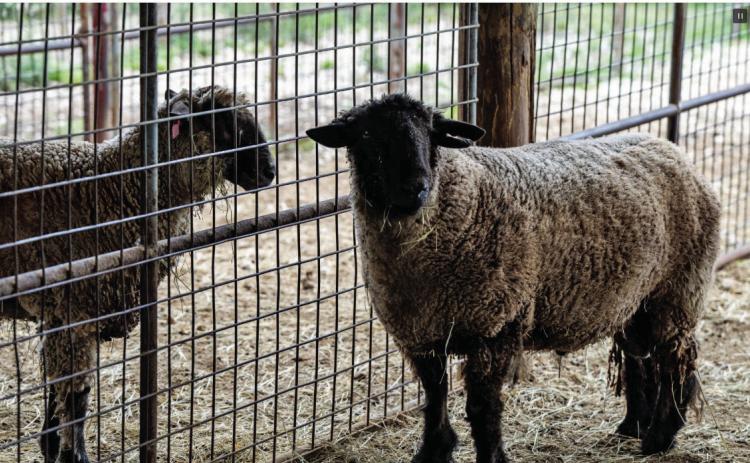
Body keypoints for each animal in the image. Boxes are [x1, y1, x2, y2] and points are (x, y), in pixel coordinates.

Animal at [0, 85, 275, 463]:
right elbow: (76, 399)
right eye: (224, 125)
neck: (111, 187)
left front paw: (53, 446)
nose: (269, 172)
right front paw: (75, 456)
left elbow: (59, 399)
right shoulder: (74, 311)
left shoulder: (63, 317)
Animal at [306, 93, 721, 463]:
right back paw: (633, 426)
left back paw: (660, 436)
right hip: (636, 298)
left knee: (676, 360)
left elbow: (482, 407)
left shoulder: (496, 324)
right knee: (641, 358)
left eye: (431, 134)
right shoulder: (422, 332)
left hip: (678, 289)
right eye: (366, 136)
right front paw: (432, 452)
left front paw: (490, 456)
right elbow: (434, 395)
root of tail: (671, 149)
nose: (416, 188)